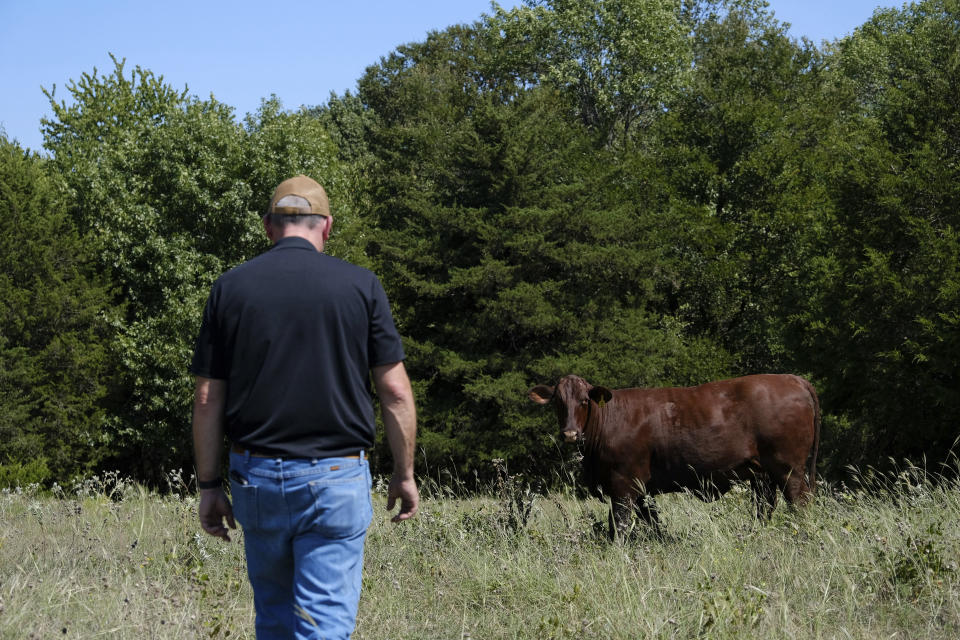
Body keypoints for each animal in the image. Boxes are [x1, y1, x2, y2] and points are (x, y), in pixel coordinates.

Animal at [528, 372, 820, 536]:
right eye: (558, 402)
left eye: (584, 401)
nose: (570, 433)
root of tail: (794, 379)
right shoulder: (640, 490)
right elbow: (653, 524)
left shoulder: (623, 484)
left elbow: (618, 527)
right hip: (762, 475)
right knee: (765, 507)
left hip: (788, 468)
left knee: (800, 503)